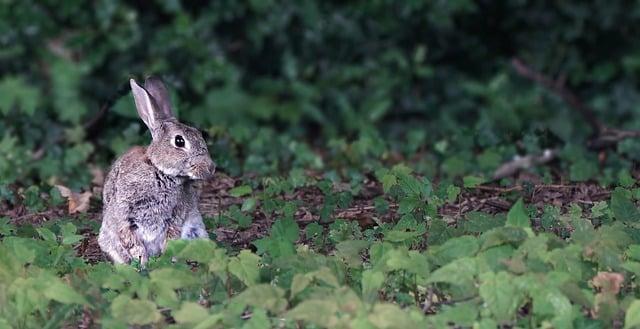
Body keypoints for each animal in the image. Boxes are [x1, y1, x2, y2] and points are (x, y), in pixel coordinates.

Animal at [97, 77, 216, 264]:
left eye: (199, 134)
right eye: (179, 141)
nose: (210, 168)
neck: (158, 170)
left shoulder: (175, 215)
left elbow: (171, 236)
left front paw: (163, 260)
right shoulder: (124, 214)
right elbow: (130, 238)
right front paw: (142, 261)